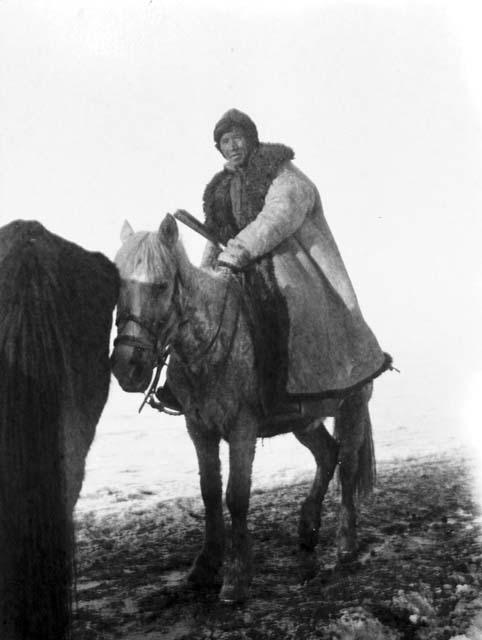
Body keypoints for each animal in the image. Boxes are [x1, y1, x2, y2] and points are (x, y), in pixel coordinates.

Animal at [112, 218, 376, 604]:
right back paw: (307, 528)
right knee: (328, 454)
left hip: (352, 408)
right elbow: (209, 494)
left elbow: (236, 496)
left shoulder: (242, 429)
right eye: (118, 286)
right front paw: (205, 566)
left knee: (348, 466)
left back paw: (346, 541)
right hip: (303, 421)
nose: (126, 367)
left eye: (160, 285)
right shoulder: (199, 429)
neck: (210, 347)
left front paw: (236, 576)